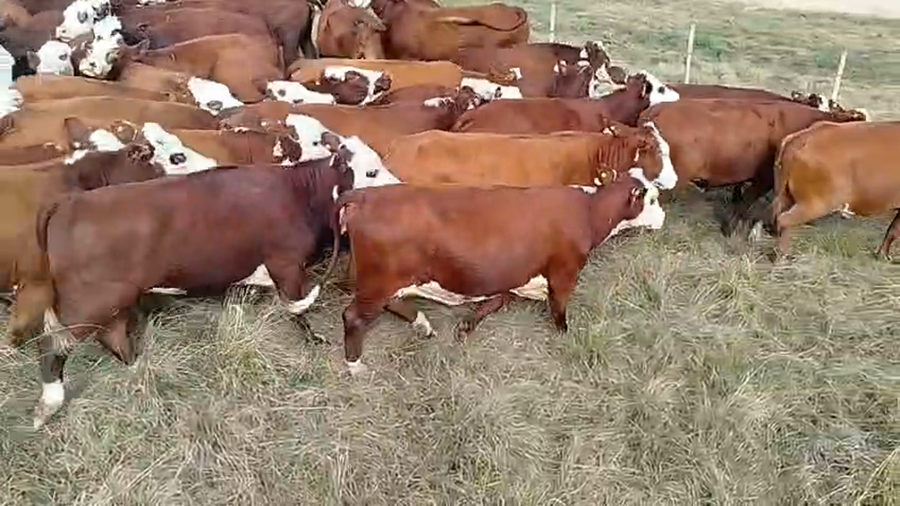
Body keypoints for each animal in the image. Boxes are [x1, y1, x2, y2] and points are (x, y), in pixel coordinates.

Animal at [27, 137, 359, 429]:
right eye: (362, 173)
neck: (298, 191)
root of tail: (67, 203)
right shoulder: (287, 264)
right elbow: (297, 309)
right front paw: (315, 340)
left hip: (113, 300)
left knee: (113, 337)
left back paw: (140, 370)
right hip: (88, 301)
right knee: (53, 343)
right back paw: (48, 406)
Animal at [334, 169, 664, 375]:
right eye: (651, 199)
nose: (663, 218)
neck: (589, 211)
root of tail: (361, 195)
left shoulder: (513, 272)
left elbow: (500, 299)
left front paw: (468, 324)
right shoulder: (565, 271)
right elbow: (559, 307)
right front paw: (565, 336)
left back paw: (422, 324)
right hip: (380, 278)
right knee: (353, 316)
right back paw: (355, 366)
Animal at [769, 121, 900, 260]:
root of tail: (800, 138)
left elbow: (892, 230)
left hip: (787, 197)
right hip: (816, 204)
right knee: (783, 220)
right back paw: (784, 255)